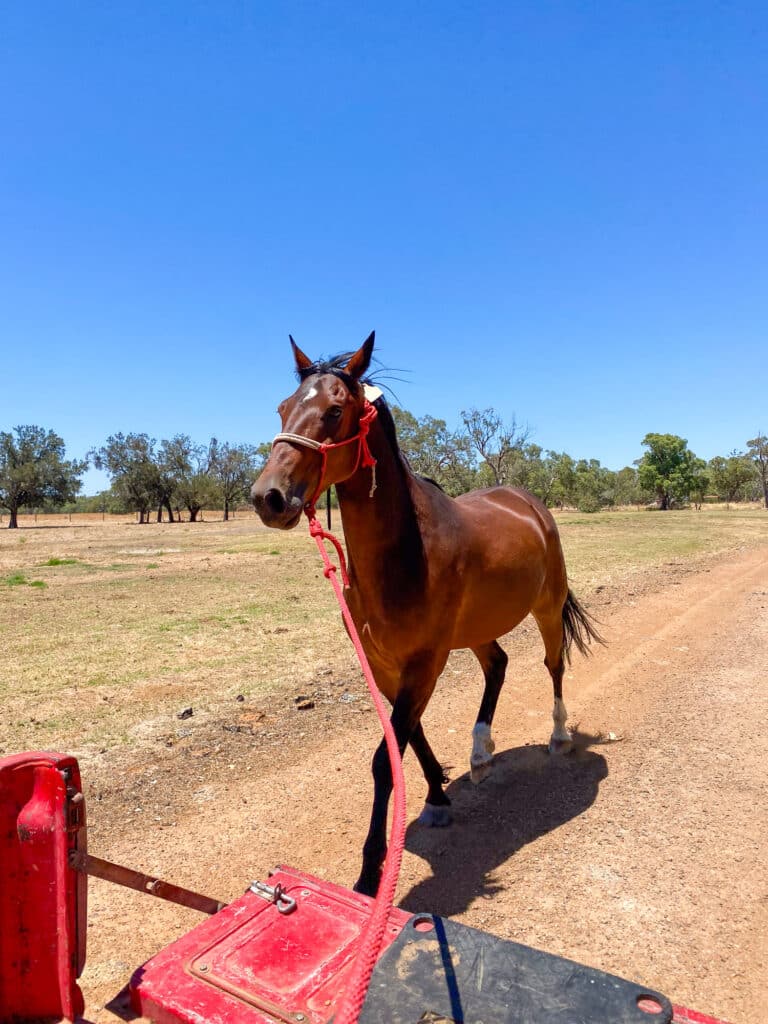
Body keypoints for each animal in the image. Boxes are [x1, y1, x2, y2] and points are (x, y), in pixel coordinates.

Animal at [251, 332, 603, 897]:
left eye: (334, 411)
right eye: (283, 407)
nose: (268, 497)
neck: (405, 555)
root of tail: (528, 501)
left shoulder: (425, 662)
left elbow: (384, 760)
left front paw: (369, 872)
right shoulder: (386, 665)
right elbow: (407, 737)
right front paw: (438, 795)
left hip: (546, 609)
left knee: (553, 667)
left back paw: (559, 736)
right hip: (477, 628)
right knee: (498, 666)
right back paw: (481, 753)